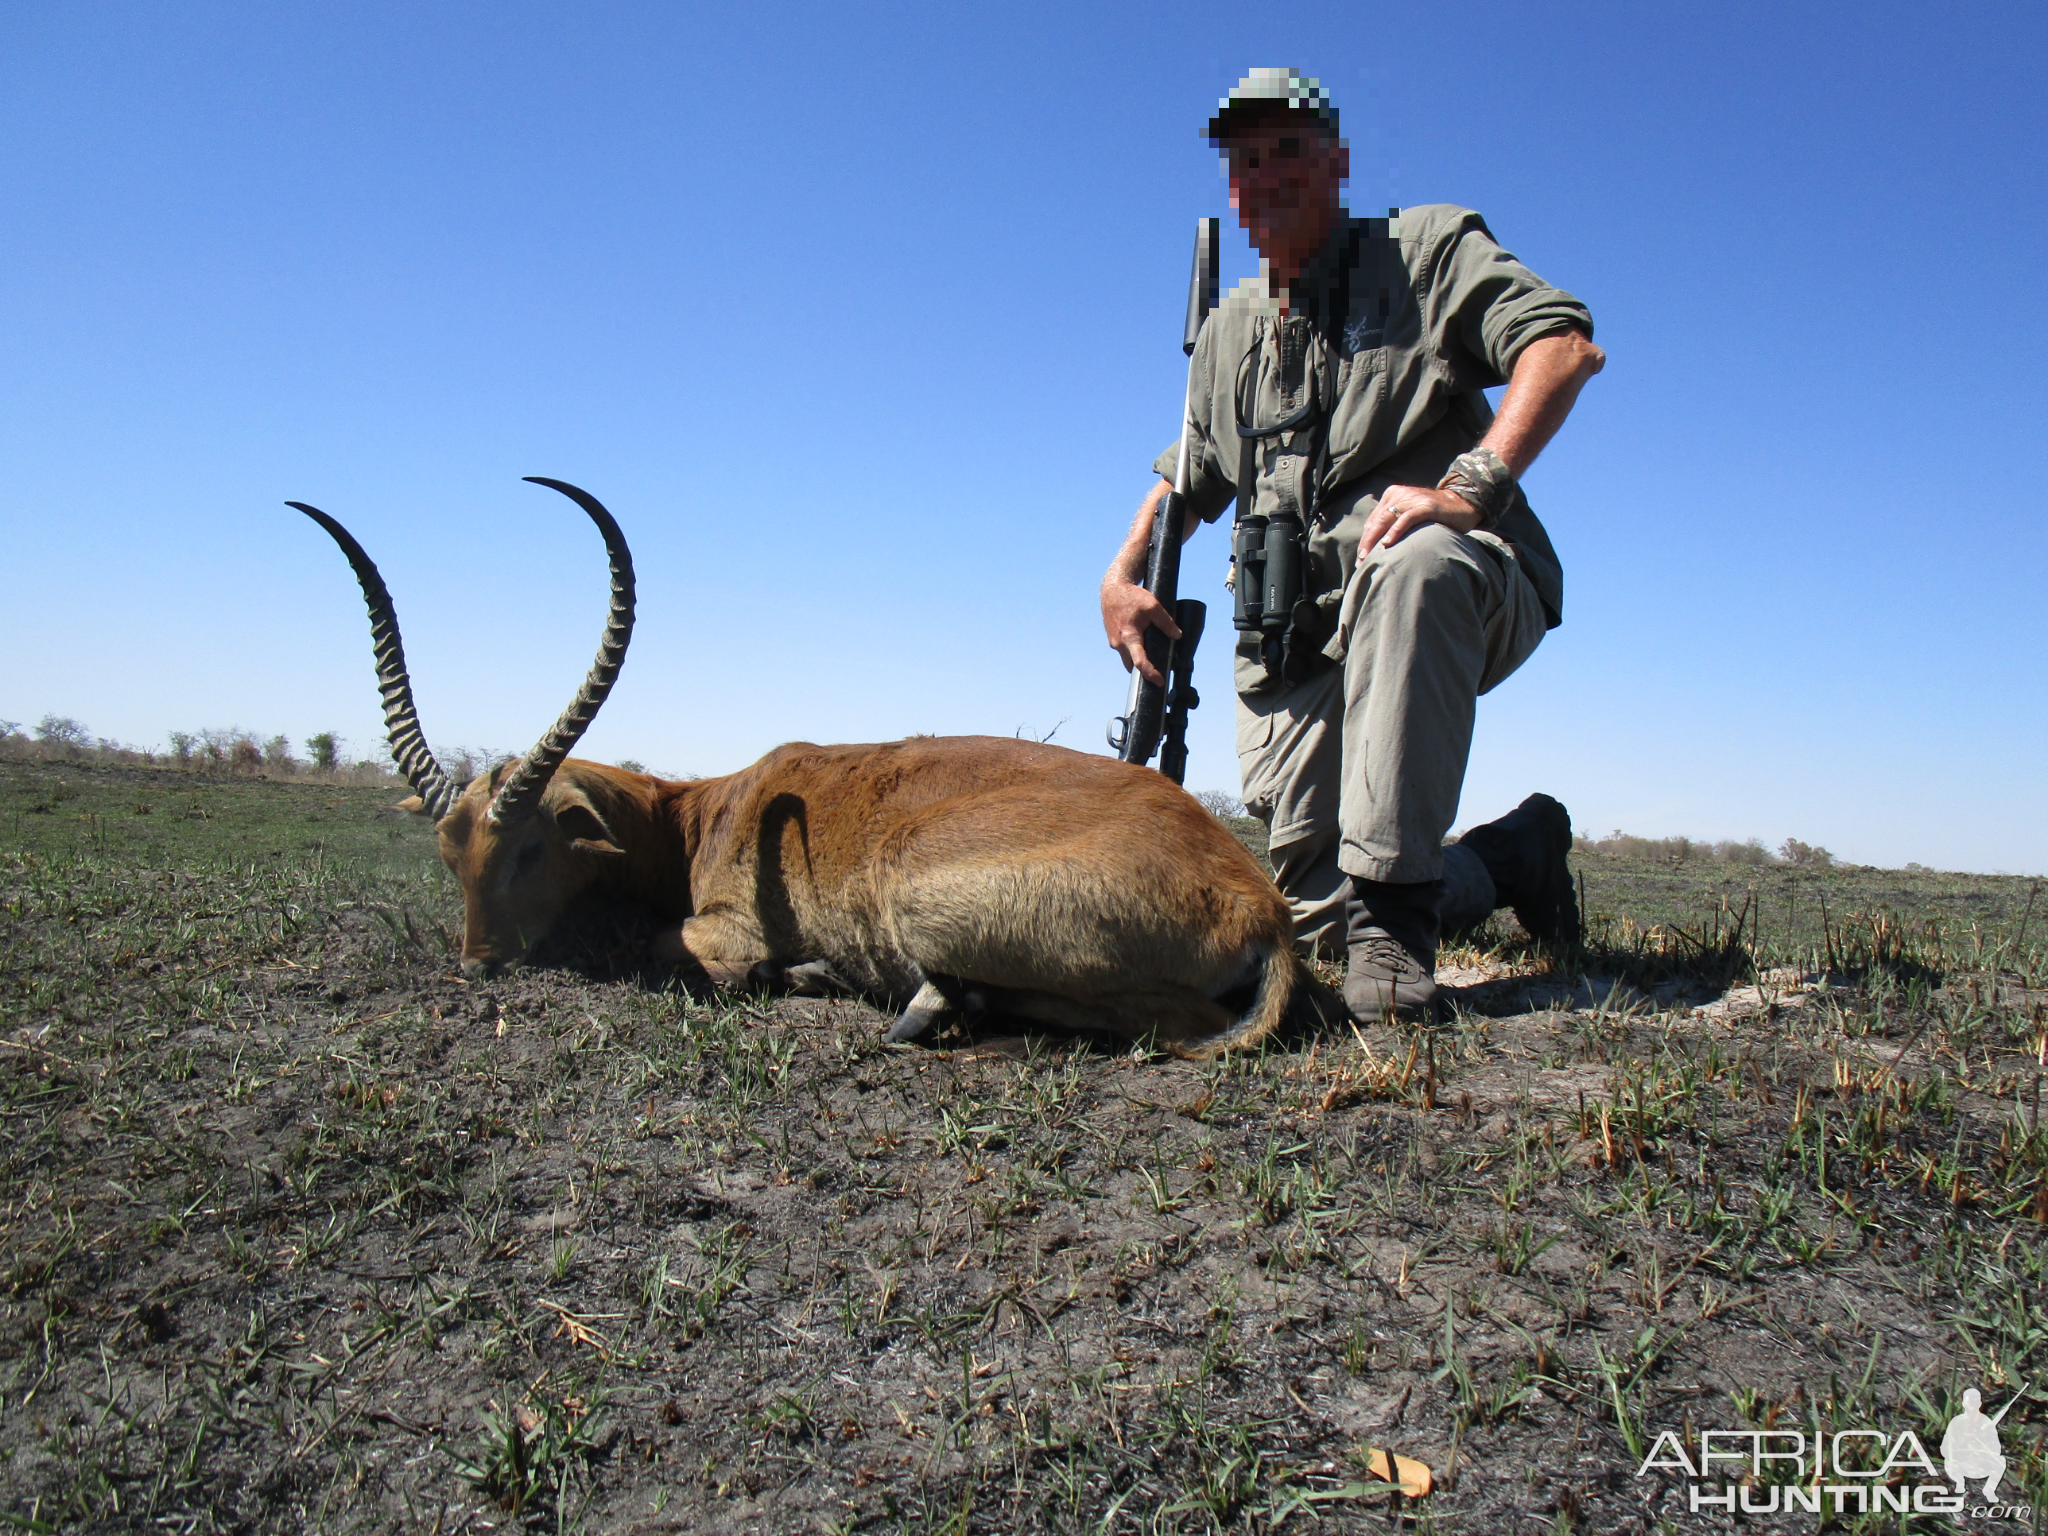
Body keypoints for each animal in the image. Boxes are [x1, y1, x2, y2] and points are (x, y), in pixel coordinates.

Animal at [296, 481, 1335, 1056]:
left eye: (528, 849)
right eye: (450, 853)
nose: (478, 965)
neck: (704, 808)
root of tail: (1256, 900)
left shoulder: (722, 928)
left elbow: (667, 944)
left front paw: (788, 971)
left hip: (924, 891)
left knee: (1166, 1021)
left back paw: (916, 1006)